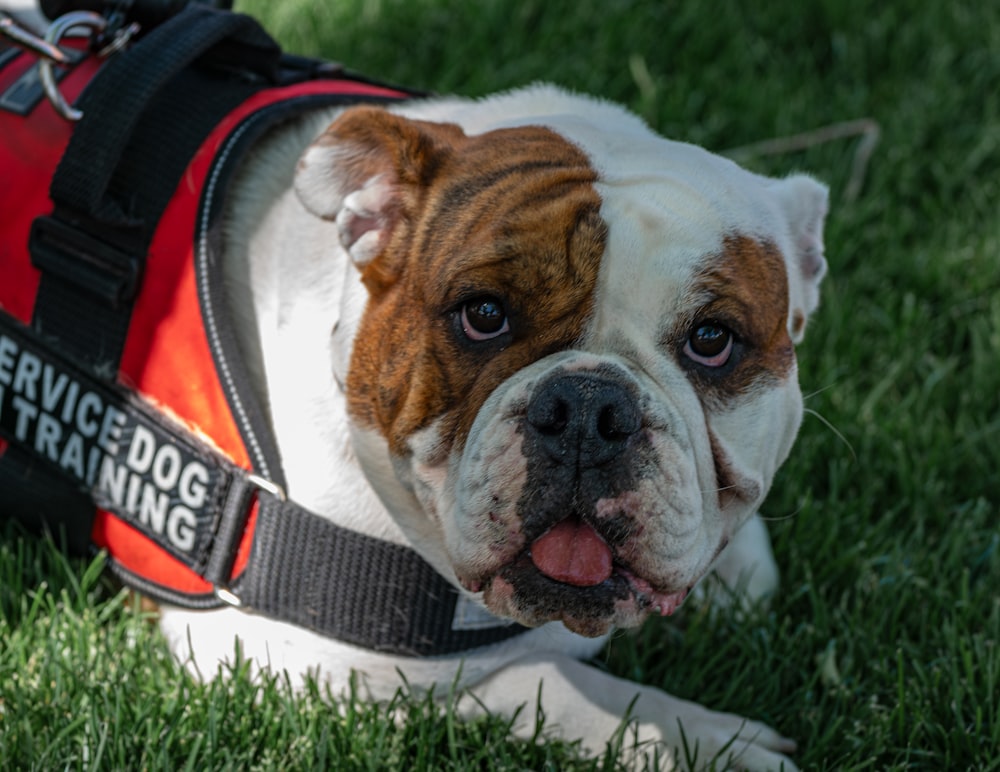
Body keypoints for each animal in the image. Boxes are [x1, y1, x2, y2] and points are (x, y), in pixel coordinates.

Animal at [135, 81, 828, 768]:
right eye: (484, 314)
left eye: (712, 340)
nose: (587, 409)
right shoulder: (285, 659)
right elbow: (540, 681)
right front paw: (698, 740)